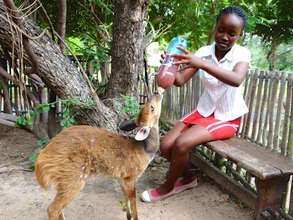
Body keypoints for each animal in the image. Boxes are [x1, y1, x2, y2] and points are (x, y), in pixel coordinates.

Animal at [34, 91, 162, 220]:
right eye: (151, 107)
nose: (156, 93)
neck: (143, 149)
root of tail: (42, 156)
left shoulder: (122, 179)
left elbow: (127, 201)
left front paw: (128, 216)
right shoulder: (130, 177)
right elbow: (133, 202)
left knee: (59, 209)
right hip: (73, 179)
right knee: (52, 209)